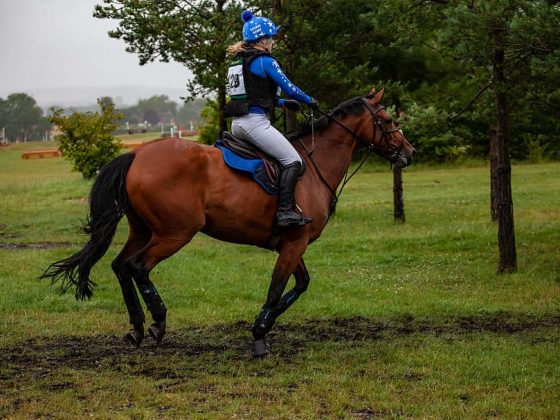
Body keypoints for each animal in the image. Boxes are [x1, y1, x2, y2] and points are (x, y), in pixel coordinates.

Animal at [40, 88, 416, 358]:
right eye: (386, 118)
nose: (409, 153)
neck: (313, 165)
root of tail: (136, 154)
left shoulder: (292, 243)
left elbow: (299, 285)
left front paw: (265, 325)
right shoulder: (294, 244)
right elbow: (277, 287)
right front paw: (260, 336)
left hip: (144, 229)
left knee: (120, 266)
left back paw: (136, 328)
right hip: (175, 232)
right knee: (137, 266)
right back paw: (158, 323)